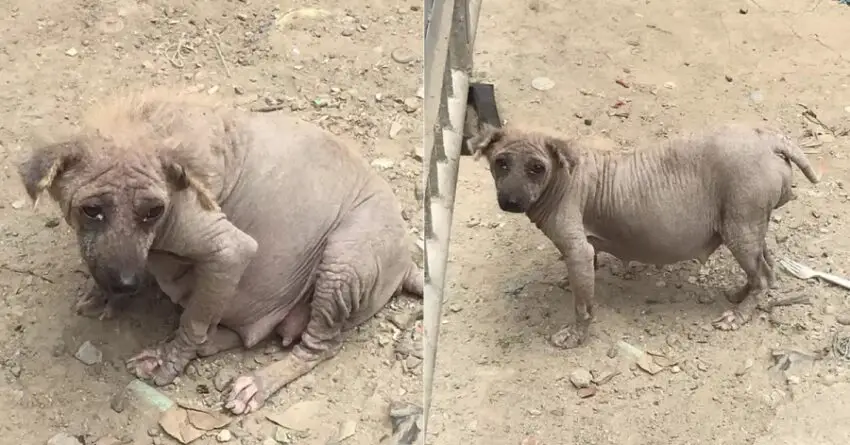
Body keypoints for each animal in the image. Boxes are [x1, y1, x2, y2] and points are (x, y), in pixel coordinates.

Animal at [17, 92, 420, 414]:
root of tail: (408, 265)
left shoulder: (229, 249)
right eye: (91, 211)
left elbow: (193, 321)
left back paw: (256, 381)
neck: (145, 124)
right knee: (249, 330)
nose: (127, 284)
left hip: (346, 261)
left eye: (154, 212)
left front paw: (169, 361)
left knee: (319, 345)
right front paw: (101, 293)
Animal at [468, 123, 820, 348]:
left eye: (536, 168)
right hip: (751, 227)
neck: (563, 177)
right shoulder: (586, 251)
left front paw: (576, 336)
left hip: (740, 228)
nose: (511, 201)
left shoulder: (577, 250)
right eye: (500, 162)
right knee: (766, 268)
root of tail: (767, 139)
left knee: (762, 276)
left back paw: (739, 314)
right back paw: (741, 294)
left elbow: (583, 306)